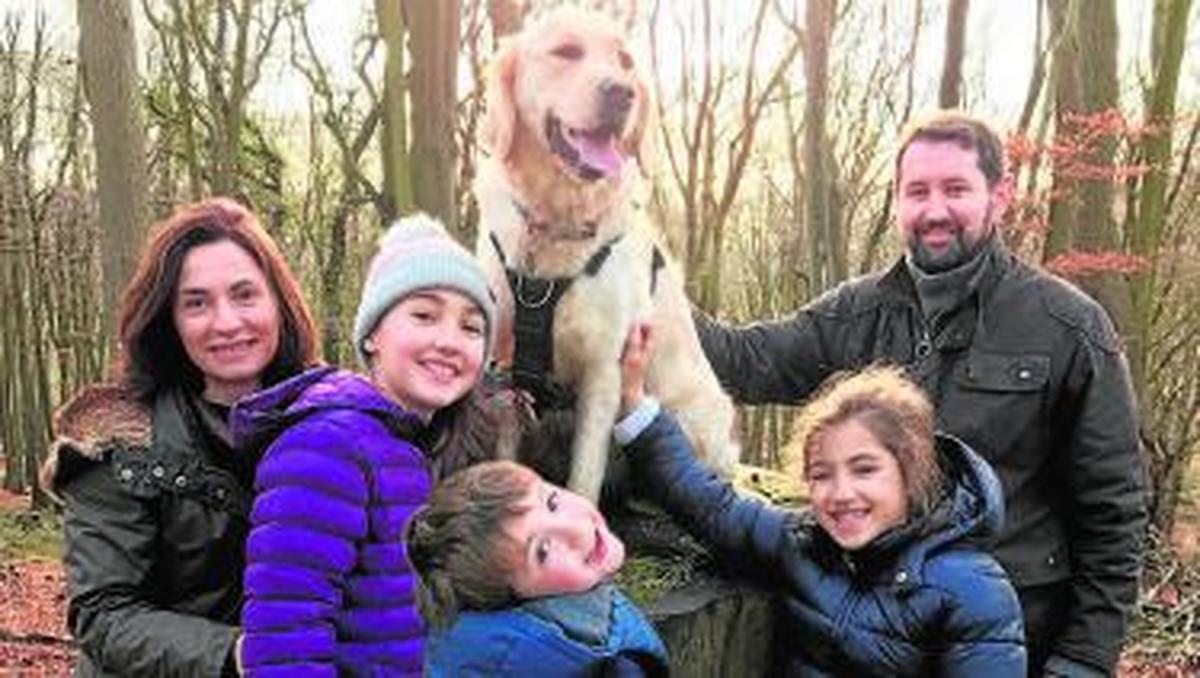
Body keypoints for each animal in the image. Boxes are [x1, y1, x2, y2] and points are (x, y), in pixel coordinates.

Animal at [472, 7, 734, 499]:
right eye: (565, 51)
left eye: (626, 62)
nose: (622, 93)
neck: (555, 220)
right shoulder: (504, 368)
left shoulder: (604, 370)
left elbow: (583, 478)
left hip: (696, 415)